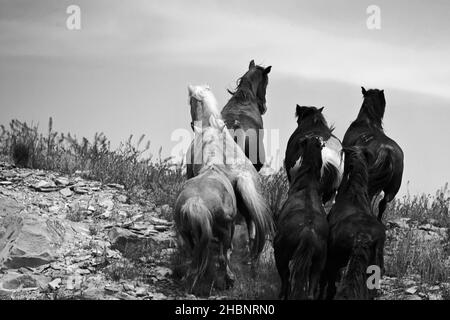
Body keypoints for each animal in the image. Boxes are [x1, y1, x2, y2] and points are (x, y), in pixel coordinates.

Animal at [272, 136, 328, 300]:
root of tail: (308, 233)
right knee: (310, 290)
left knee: (286, 279)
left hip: (280, 253)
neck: (308, 180)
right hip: (319, 262)